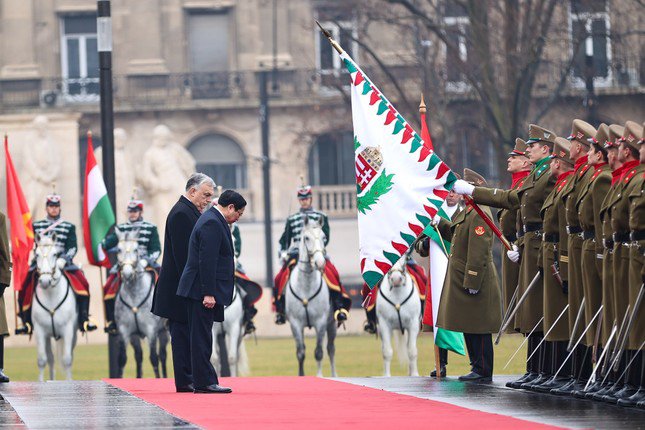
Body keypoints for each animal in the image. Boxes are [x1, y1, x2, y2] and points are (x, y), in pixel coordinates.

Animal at [31, 235, 77, 380]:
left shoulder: (68, 330)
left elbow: (67, 360)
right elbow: (42, 360)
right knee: (51, 359)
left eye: (55, 254)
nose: (45, 281)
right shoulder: (40, 331)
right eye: (36, 254)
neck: (51, 296)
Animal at [114, 230, 169, 378]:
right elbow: (123, 359)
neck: (134, 297)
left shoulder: (151, 331)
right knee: (139, 356)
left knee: (162, 356)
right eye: (119, 249)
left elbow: (154, 358)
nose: (127, 274)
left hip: (164, 331)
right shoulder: (125, 332)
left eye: (136, 249)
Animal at [286, 215, 338, 376]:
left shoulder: (320, 322)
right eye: (306, 238)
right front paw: (301, 375)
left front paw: (319, 376)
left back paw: (334, 375)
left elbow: (319, 352)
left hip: (332, 324)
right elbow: (301, 352)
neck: (306, 287)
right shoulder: (295, 324)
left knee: (330, 349)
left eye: (324, 237)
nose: (320, 262)